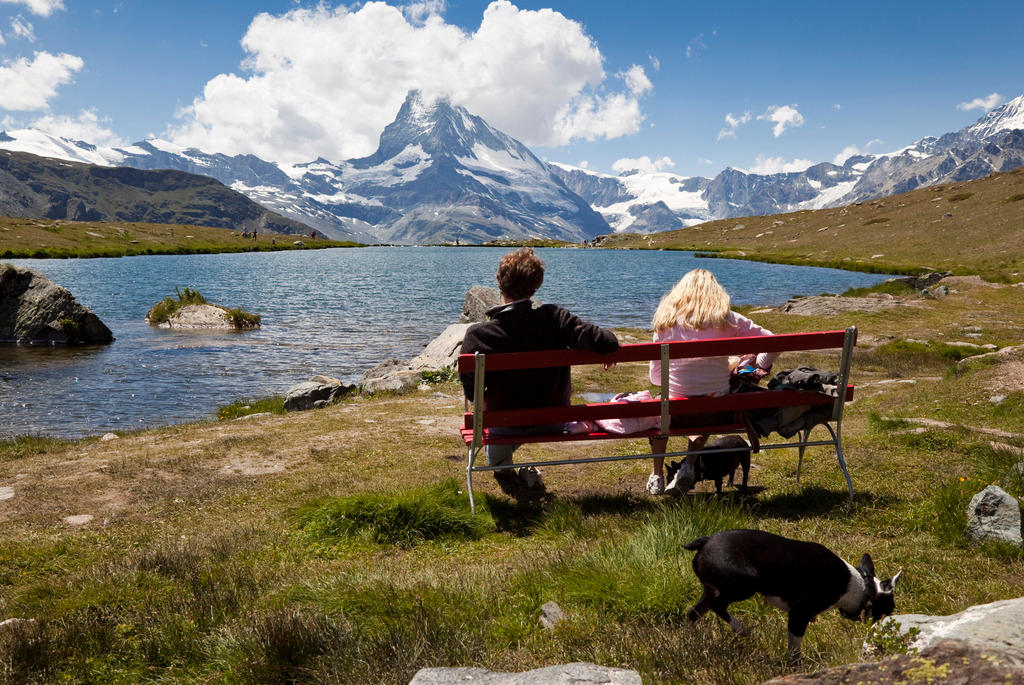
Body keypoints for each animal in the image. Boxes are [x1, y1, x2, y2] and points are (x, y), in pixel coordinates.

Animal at [684, 528, 901, 655]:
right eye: (889, 610)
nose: (890, 623)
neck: (861, 585)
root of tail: (707, 541)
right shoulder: (800, 614)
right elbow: (795, 647)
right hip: (746, 584)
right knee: (717, 605)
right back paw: (741, 628)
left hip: (712, 589)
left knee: (695, 612)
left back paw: (693, 640)